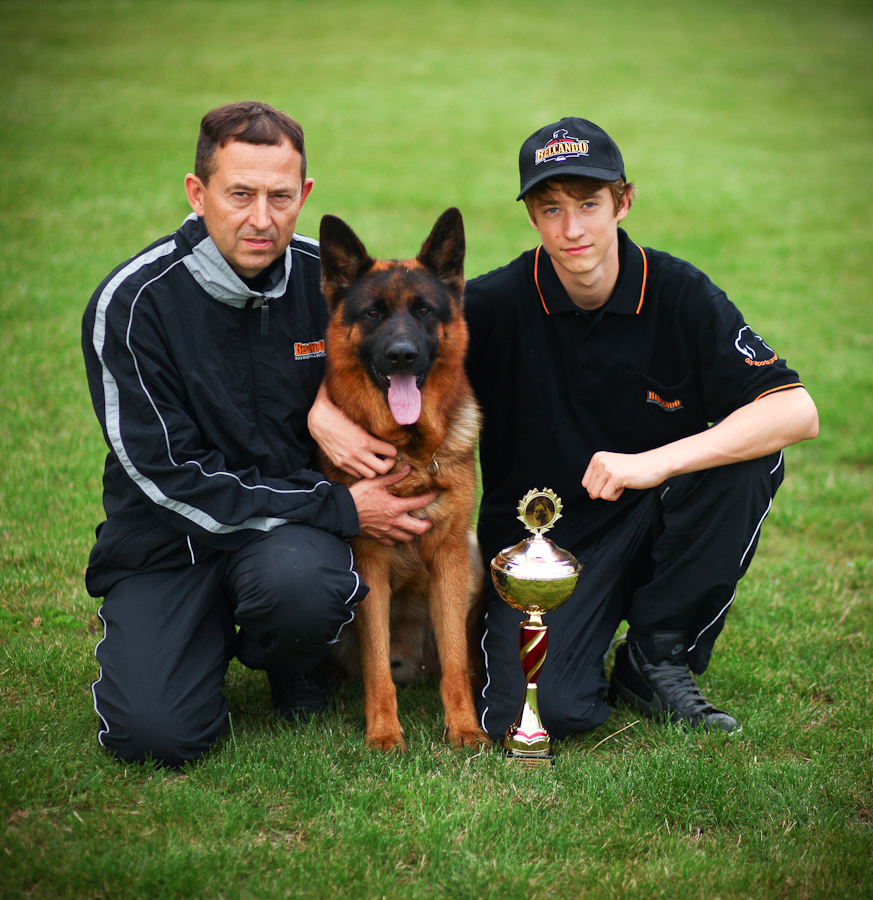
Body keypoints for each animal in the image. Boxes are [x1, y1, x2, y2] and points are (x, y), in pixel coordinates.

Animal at [318, 207, 490, 748]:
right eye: (373, 313)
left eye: (423, 311)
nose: (401, 355)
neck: (410, 454)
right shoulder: (369, 567)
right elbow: (376, 667)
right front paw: (383, 733)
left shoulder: (450, 558)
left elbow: (455, 661)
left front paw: (464, 728)